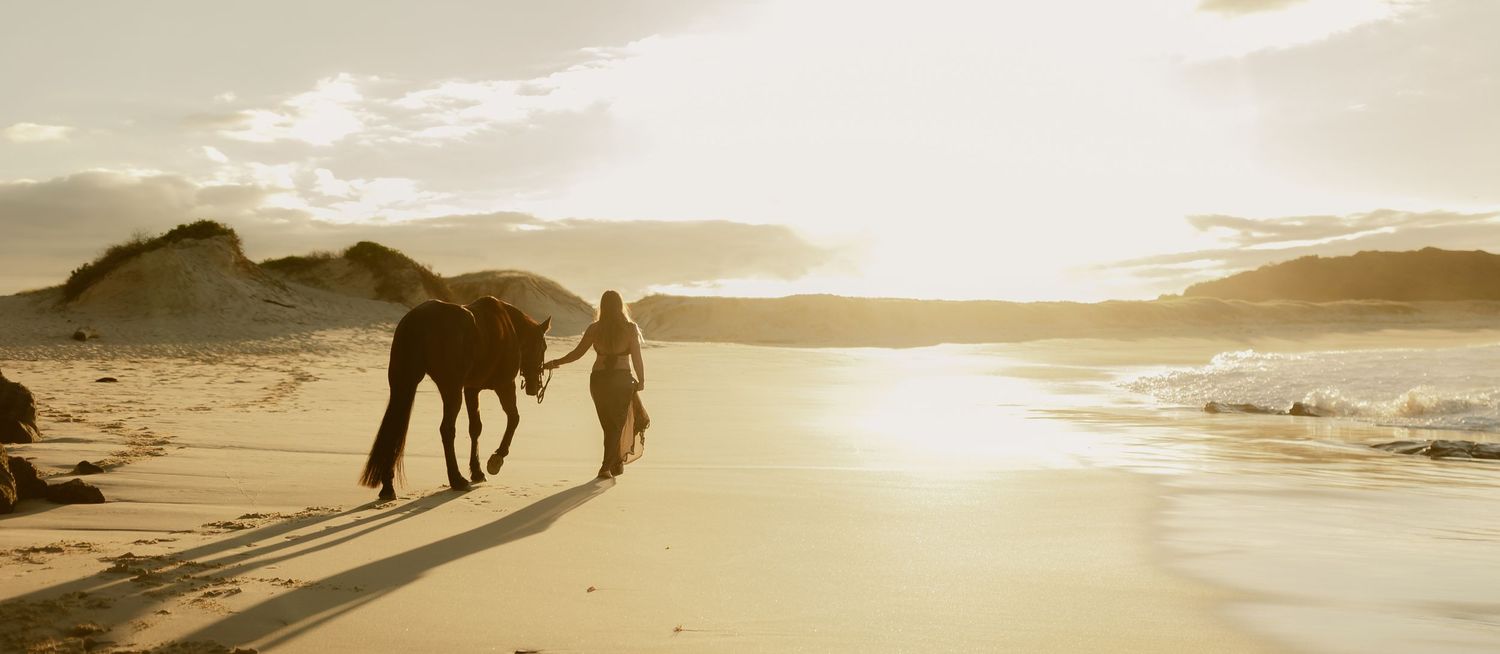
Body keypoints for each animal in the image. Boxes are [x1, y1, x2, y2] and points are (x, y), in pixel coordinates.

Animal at [359, 296, 551, 500]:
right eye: (544, 347)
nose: (535, 387)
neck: (510, 327)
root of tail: (418, 319)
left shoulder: (471, 389)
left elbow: (476, 428)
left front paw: (477, 470)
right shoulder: (504, 385)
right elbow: (514, 418)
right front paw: (497, 458)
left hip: (402, 385)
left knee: (394, 428)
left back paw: (388, 487)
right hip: (451, 390)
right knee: (447, 430)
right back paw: (456, 479)